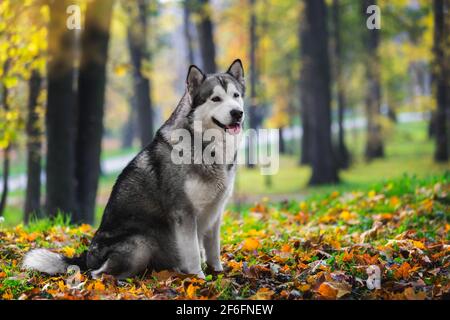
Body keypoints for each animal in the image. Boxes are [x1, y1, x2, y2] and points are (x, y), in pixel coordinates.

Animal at [24, 60, 246, 280]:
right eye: (216, 99)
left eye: (236, 96)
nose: (237, 113)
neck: (206, 146)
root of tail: (86, 257)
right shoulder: (184, 213)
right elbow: (192, 253)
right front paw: (199, 279)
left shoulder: (215, 212)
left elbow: (213, 249)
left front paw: (218, 273)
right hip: (140, 243)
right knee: (97, 274)